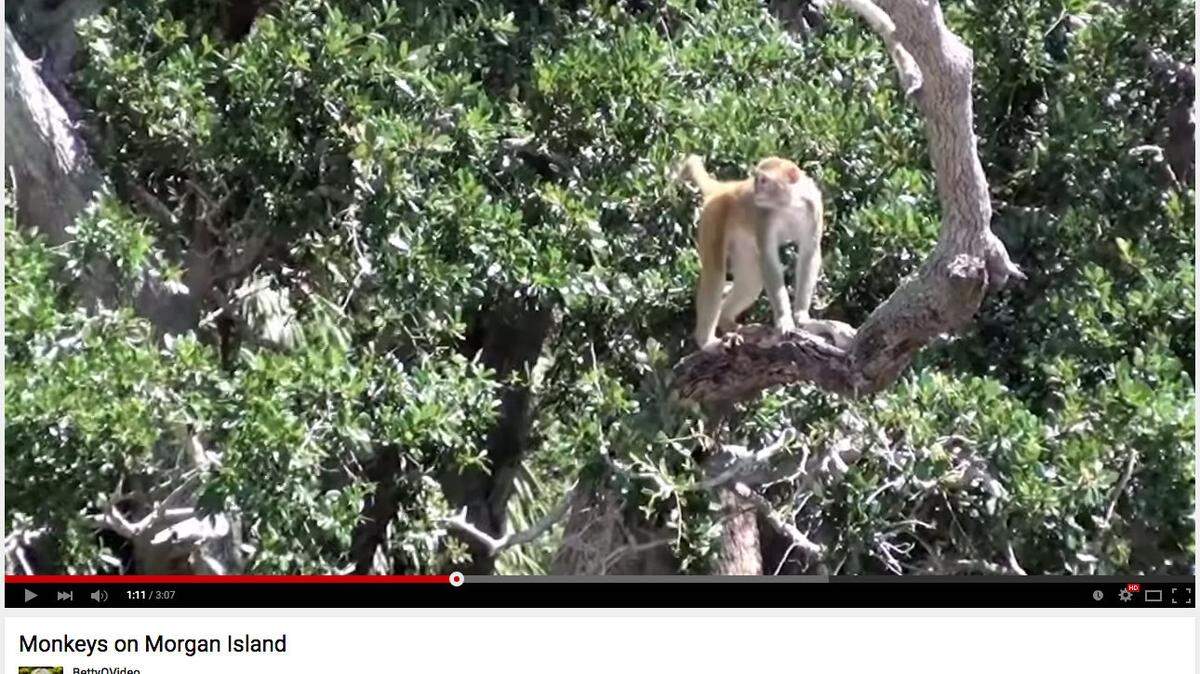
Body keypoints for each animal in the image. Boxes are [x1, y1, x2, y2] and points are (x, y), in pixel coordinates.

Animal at [681, 155, 828, 352]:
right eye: (757, 179)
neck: (789, 204)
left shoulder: (814, 208)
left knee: (751, 280)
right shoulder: (765, 217)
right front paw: (784, 320)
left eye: (763, 180)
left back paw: (726, 320)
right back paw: (707, 342)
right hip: (714, 216)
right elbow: (769, 259)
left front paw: (801, 315)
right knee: (715, 274)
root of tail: (725, 188)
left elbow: (809, 255)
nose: (755, 190)